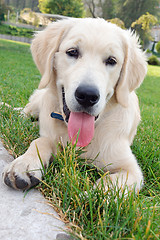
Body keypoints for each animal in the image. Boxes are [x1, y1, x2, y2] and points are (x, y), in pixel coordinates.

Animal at [2, 17, 148, 192]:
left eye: (111, 61)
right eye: (72, 52)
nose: (87, 96)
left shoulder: (131, 169)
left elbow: (108, 185)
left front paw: (91, 194)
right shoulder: (51, 138)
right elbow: (40, 141)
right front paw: (25, 164)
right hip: (38, 101)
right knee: (24, 111)